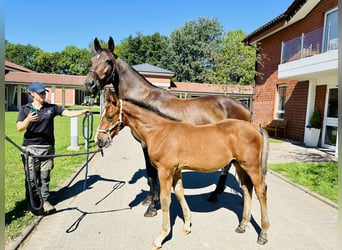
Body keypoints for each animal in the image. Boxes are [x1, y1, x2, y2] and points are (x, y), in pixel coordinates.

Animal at [85, 35, 251, 217]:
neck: (144, 99)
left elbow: (152, 173)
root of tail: (243, 105)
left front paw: (152, 206)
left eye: (108, 60)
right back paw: (216, 194)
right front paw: (150, 200)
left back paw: (217, 195)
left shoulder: (146, 144)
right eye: (92, 60)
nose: (89, 84)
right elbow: (150, 173)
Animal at [96, 91, 270, 248]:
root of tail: (255, 128)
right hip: (239, 165)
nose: (99, 141)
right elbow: (180, 193)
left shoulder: (165, 170)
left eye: (110, 116)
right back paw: (242, 225)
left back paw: (263, 234)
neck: (159, 131)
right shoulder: (177, 170)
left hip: (251, 166)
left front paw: (161, 237)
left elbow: (165, 200)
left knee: (261, 190)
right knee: (247, 189)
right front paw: (187, 226)